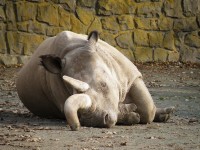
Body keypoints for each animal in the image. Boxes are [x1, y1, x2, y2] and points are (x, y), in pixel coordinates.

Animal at [16, 30, 173, 130]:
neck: (73, 49)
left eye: (104, 85)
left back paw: (166, 114)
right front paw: (131, 114)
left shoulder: (131, 74)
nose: (97, 120)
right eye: (71, 92)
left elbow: (147, 108)